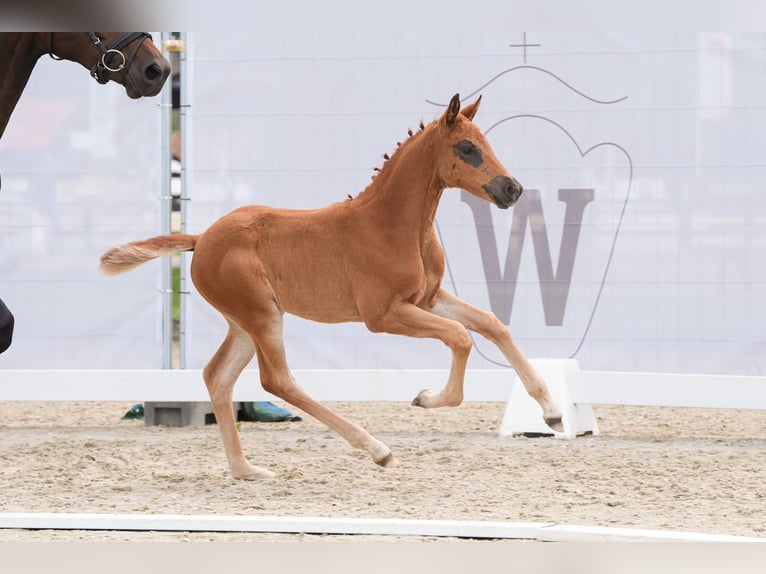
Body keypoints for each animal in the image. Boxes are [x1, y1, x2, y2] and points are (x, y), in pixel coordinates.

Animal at [102, 94, 564, 482]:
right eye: (466, 148)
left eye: (485, 142)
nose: (512, 189)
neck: (393, 225)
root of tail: (201, 239)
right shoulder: (383, 315)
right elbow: (461, 337)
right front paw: (427, 398)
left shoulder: (428, 299)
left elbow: (491, 324)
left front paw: (553, 413)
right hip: (261, 316)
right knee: (277, 380)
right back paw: (377, 449)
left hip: (244, 324)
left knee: (218, 377)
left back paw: (247, 470)